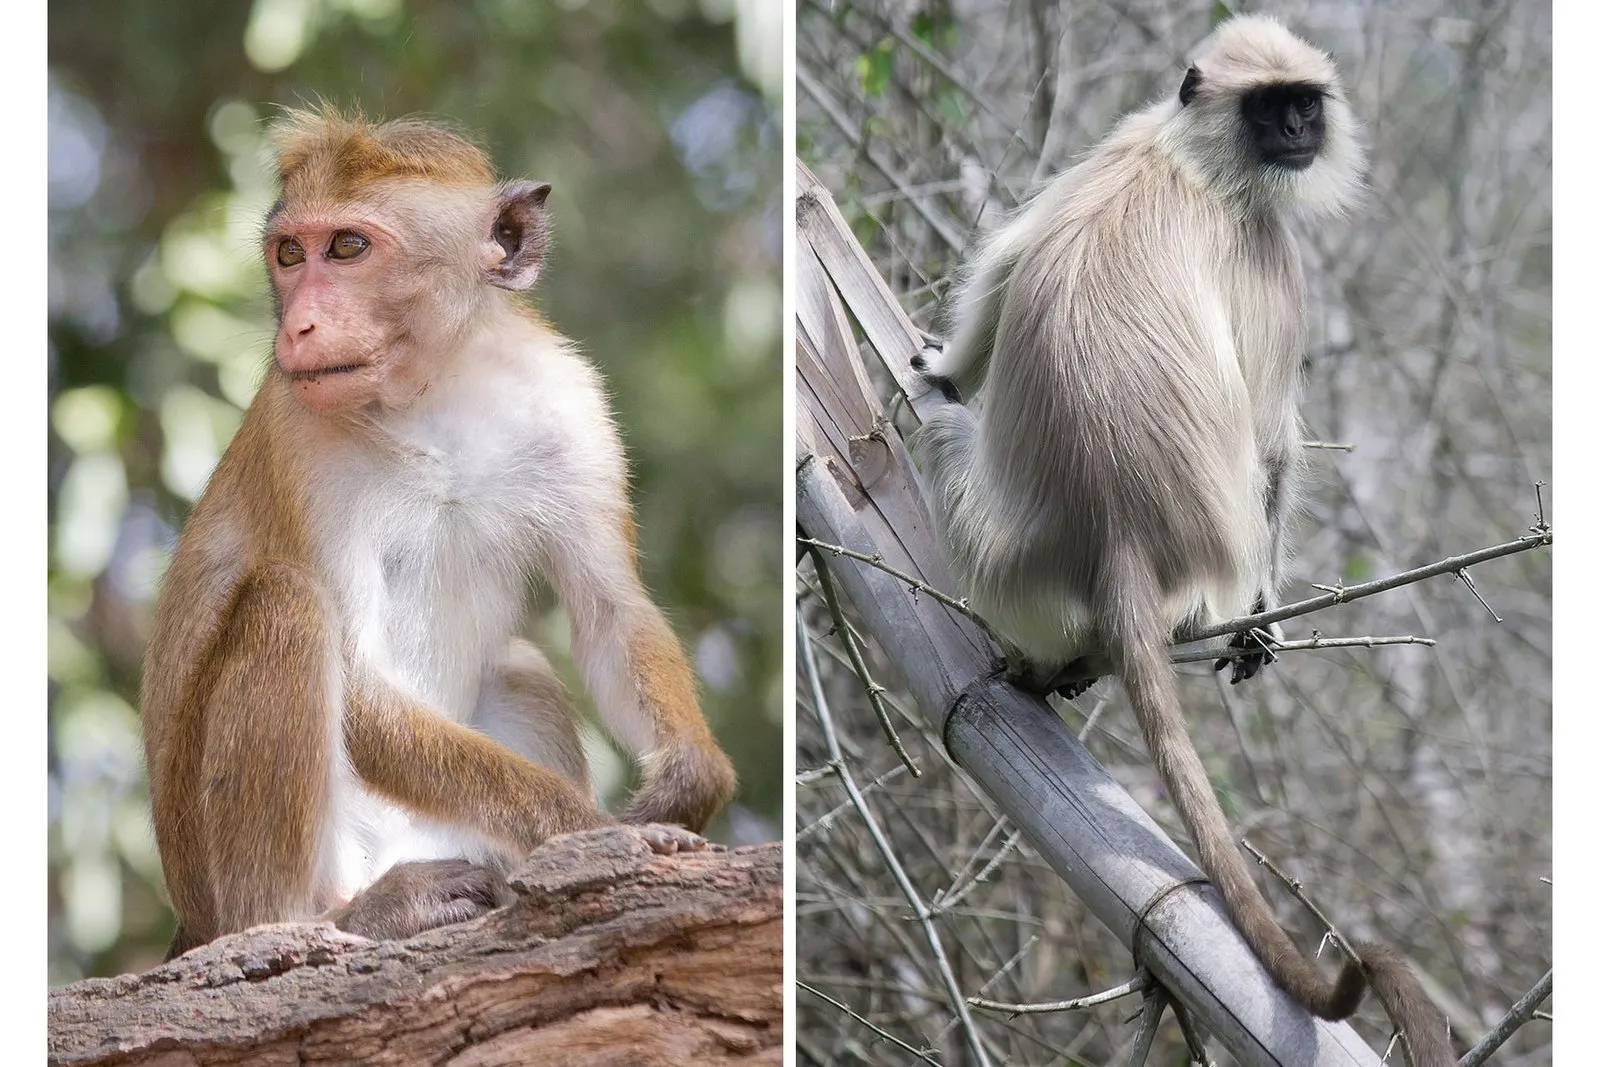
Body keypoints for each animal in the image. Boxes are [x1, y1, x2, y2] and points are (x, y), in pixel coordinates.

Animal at [140, 108, 737, 960]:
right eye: (289, 254)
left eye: (346, 247)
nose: (299, 325)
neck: (434, 388)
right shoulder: (299, 437)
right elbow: (360, 687)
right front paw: (592, 832)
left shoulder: (572, 402)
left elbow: (610, 611)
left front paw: (687, 781)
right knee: (286, 603)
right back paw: (320, 919)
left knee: (520, 668)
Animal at [912, 17, 1452, 1066]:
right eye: (1271, 107)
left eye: (1304, 102)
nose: (1297, 130)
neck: (1192, 164)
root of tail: (1117, 536)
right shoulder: (1268, 251)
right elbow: (1274, 436)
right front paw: (1264, 623)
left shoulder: (1115, 141)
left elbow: (1002, 274)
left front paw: (938, 360)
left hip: (996, 552)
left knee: (948, 429)